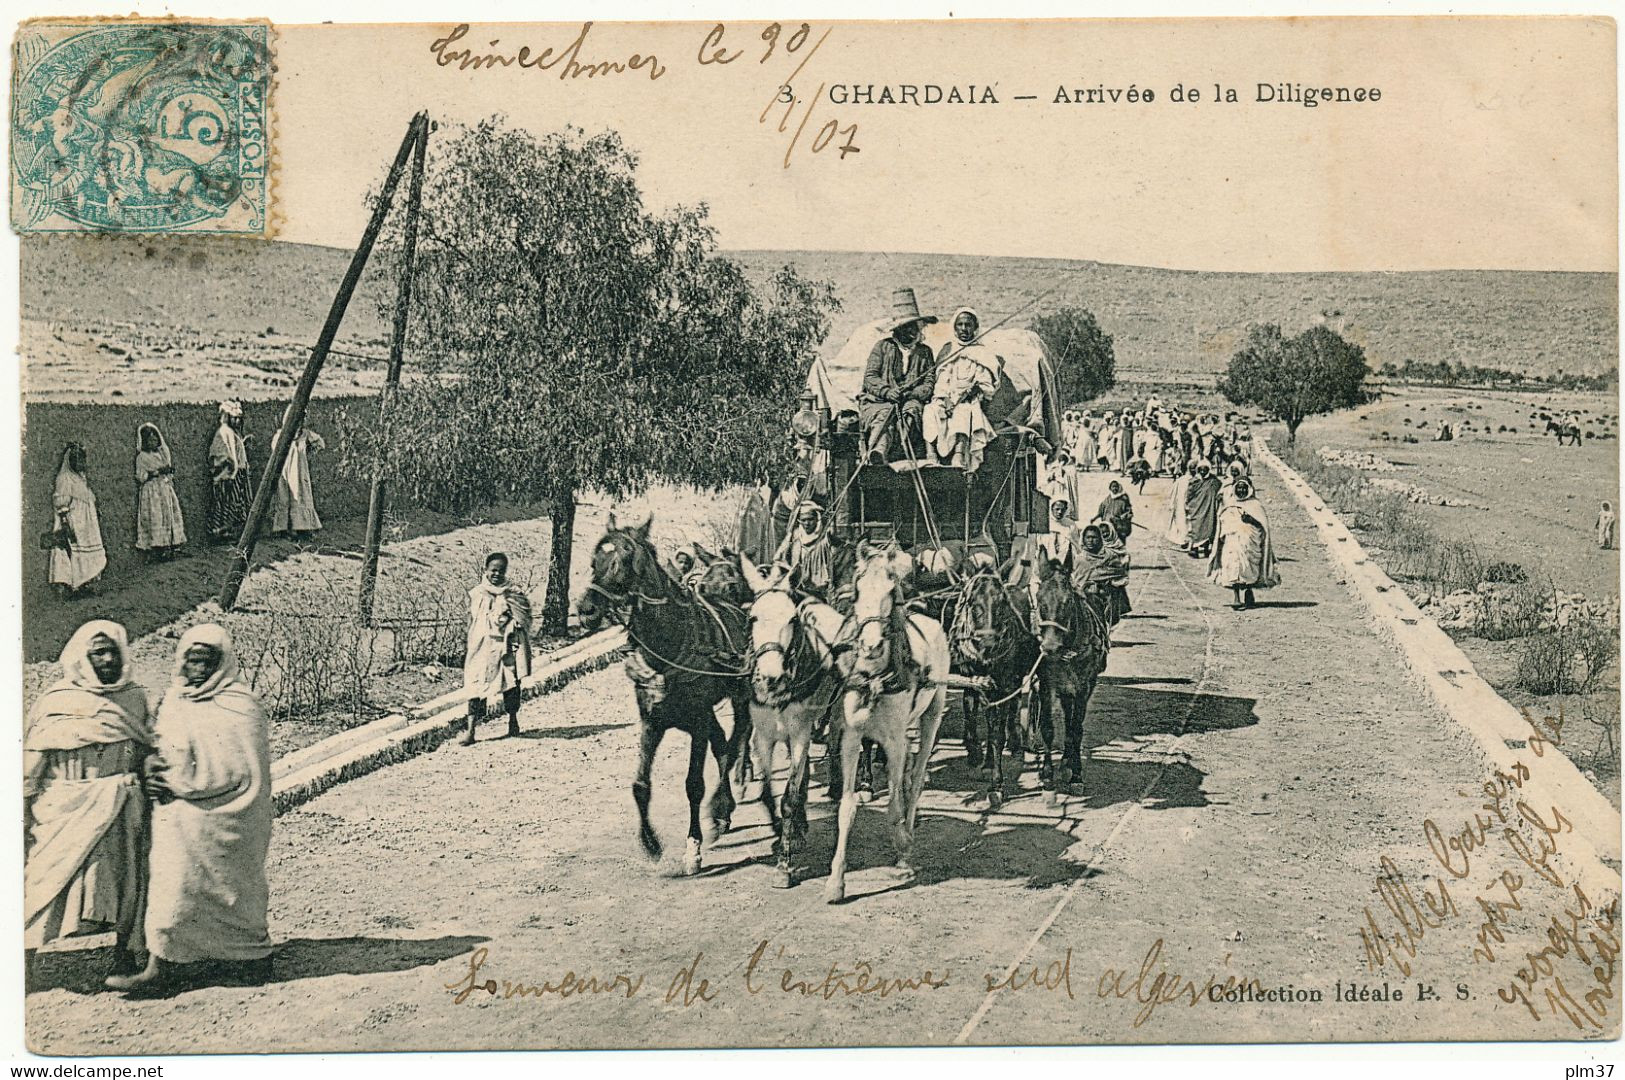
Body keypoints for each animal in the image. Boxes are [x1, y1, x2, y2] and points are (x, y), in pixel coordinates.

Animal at [578, 513, 754, 876]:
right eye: (594, 559)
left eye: (624, 560)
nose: (586, 609)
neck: (667, 642)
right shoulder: (651, 721)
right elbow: (640, 786)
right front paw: (650, 842)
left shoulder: (698, 720)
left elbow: (694, 784)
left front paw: (693, 848)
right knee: (722, 743)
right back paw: (724, 810)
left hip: (741, 693)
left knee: (737, 739)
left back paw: (723, 803)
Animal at [741, 552, 851, 889]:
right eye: (753, 618)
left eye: (792, 619)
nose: (771, 678)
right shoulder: (763, 735)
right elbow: (768, 792)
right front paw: (781, 837)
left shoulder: (801, 732)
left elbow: (788, 796)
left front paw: (785, 865)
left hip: (835, 711)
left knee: (832, 745)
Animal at [825, 539, 949, 902]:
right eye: (857, 589)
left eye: (892, 590)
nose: (870, 645)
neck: (875, 678)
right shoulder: (851, 738)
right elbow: (847, 807)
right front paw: (836, 880)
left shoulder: (893, 741)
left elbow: (894, 805)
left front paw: (903, 851)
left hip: (933, 711)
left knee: (917, 774)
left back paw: (909, 823)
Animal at [949, 568, 1040, 805]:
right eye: (972, 602)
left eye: (1002, 603)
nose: (988, 642)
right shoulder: (973, 682)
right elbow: (973, 717)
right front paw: (976, 757)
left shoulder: (1004, 686)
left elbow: (997, 734)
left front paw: (996, 784)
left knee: (1013, 707)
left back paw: (1015, 742)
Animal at [1033, 555, 1111, 799]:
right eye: (1039, 599)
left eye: (1067, 602)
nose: (1049, 647)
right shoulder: (1047, 685)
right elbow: (1047, 727)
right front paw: (1047, 774)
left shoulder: (1083, 688)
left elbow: (1076, 730)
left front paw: (1077, 776)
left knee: (1073, 724)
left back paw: (1069, 761)